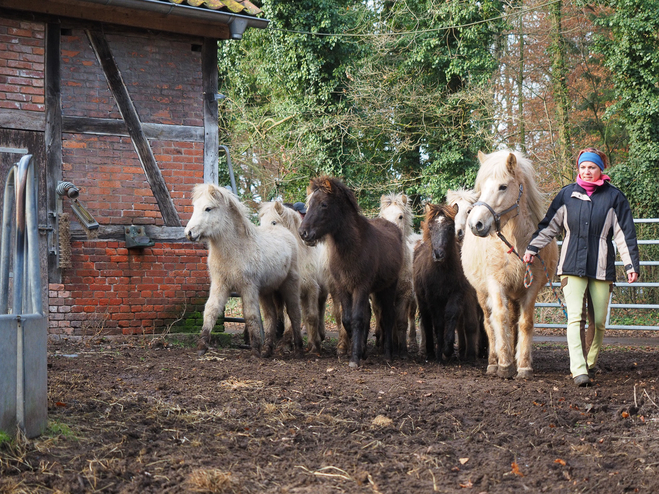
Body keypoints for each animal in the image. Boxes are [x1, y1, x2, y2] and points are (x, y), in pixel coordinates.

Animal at [183, 183, 302, 356]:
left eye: (208, 208)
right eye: (195, 207)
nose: (189, 233)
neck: (234, 251)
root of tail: (285, 231)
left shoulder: (248, 288)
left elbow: (251, 315)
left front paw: (255, 349)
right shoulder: (220, 285)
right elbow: (211, 310)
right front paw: (201, 346)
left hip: (290, 285)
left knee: (294, 314)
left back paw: (299, 348)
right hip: (267, 291)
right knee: (271, 316)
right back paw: (267, 349)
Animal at [258, 201, 330, 356]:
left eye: (274, 222)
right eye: (260, 222)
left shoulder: (312, 289)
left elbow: (312, 316)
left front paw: (315, 347)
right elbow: (289, 318)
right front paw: (286, 344)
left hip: (322, 291)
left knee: (320, 310)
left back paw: (319, 336)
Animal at [298, 178, 402, 366]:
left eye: (324, 204)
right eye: (309, 204)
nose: (303, 233)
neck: (352, 248)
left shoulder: (361, 287)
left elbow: (358, 318)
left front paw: (355, 357)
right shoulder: (342, 287)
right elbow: (348, 319)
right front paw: (359, 350)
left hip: (389, 286)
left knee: (388, 316)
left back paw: (388, 354)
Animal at [462, 149, 560, 380]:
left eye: (502, 187)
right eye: (481, 188)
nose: (476, 224)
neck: (516, 244)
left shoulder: (531, 287)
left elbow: (525, 323)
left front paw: (523, 365)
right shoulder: (496, 286)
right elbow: (500, 319)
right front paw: (504, 364)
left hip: (516, 294)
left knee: (514, 321)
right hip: (482, 294)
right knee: (489, 324)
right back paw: (493, 362)